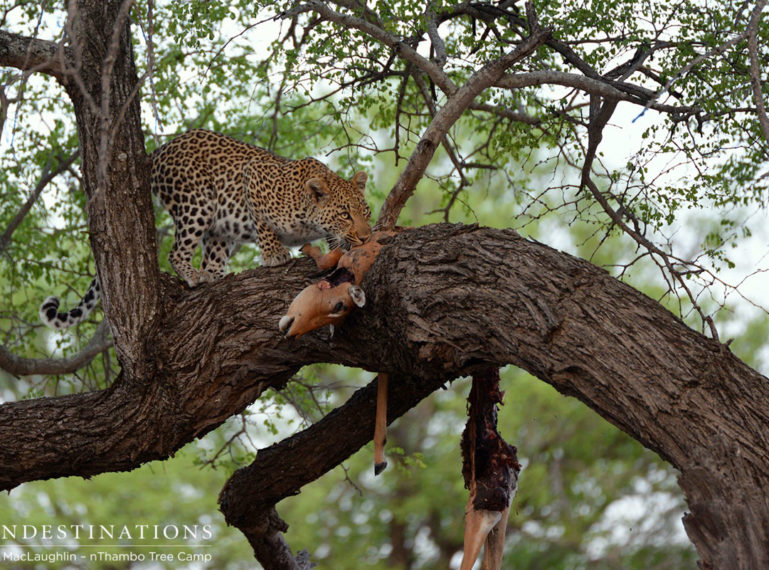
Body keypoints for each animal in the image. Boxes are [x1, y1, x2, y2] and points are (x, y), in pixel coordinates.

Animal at [41, 126, 372, 326]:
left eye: (366, 212)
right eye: (345, 214)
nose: (366, 236)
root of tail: (160, 150)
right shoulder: (253, 177)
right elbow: (264, 226)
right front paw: (274, 255)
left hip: (219, 229)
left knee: (210, 257)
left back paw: (212, 276)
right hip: (196, 204)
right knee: (176, 252)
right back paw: (192, 276)